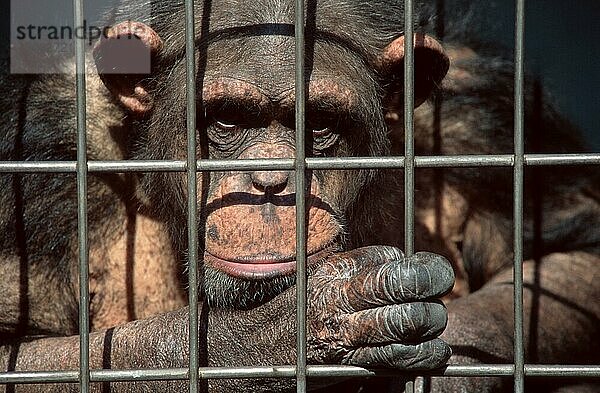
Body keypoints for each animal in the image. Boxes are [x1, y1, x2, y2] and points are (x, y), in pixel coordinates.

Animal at [0, 0, 596, 390]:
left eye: (320, 126)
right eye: (227, 120)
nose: (271, 184)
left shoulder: (482, 120)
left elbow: (567, 254)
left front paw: (449, 368)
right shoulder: (41, 153)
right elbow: (17, 349)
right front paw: (283, 333)